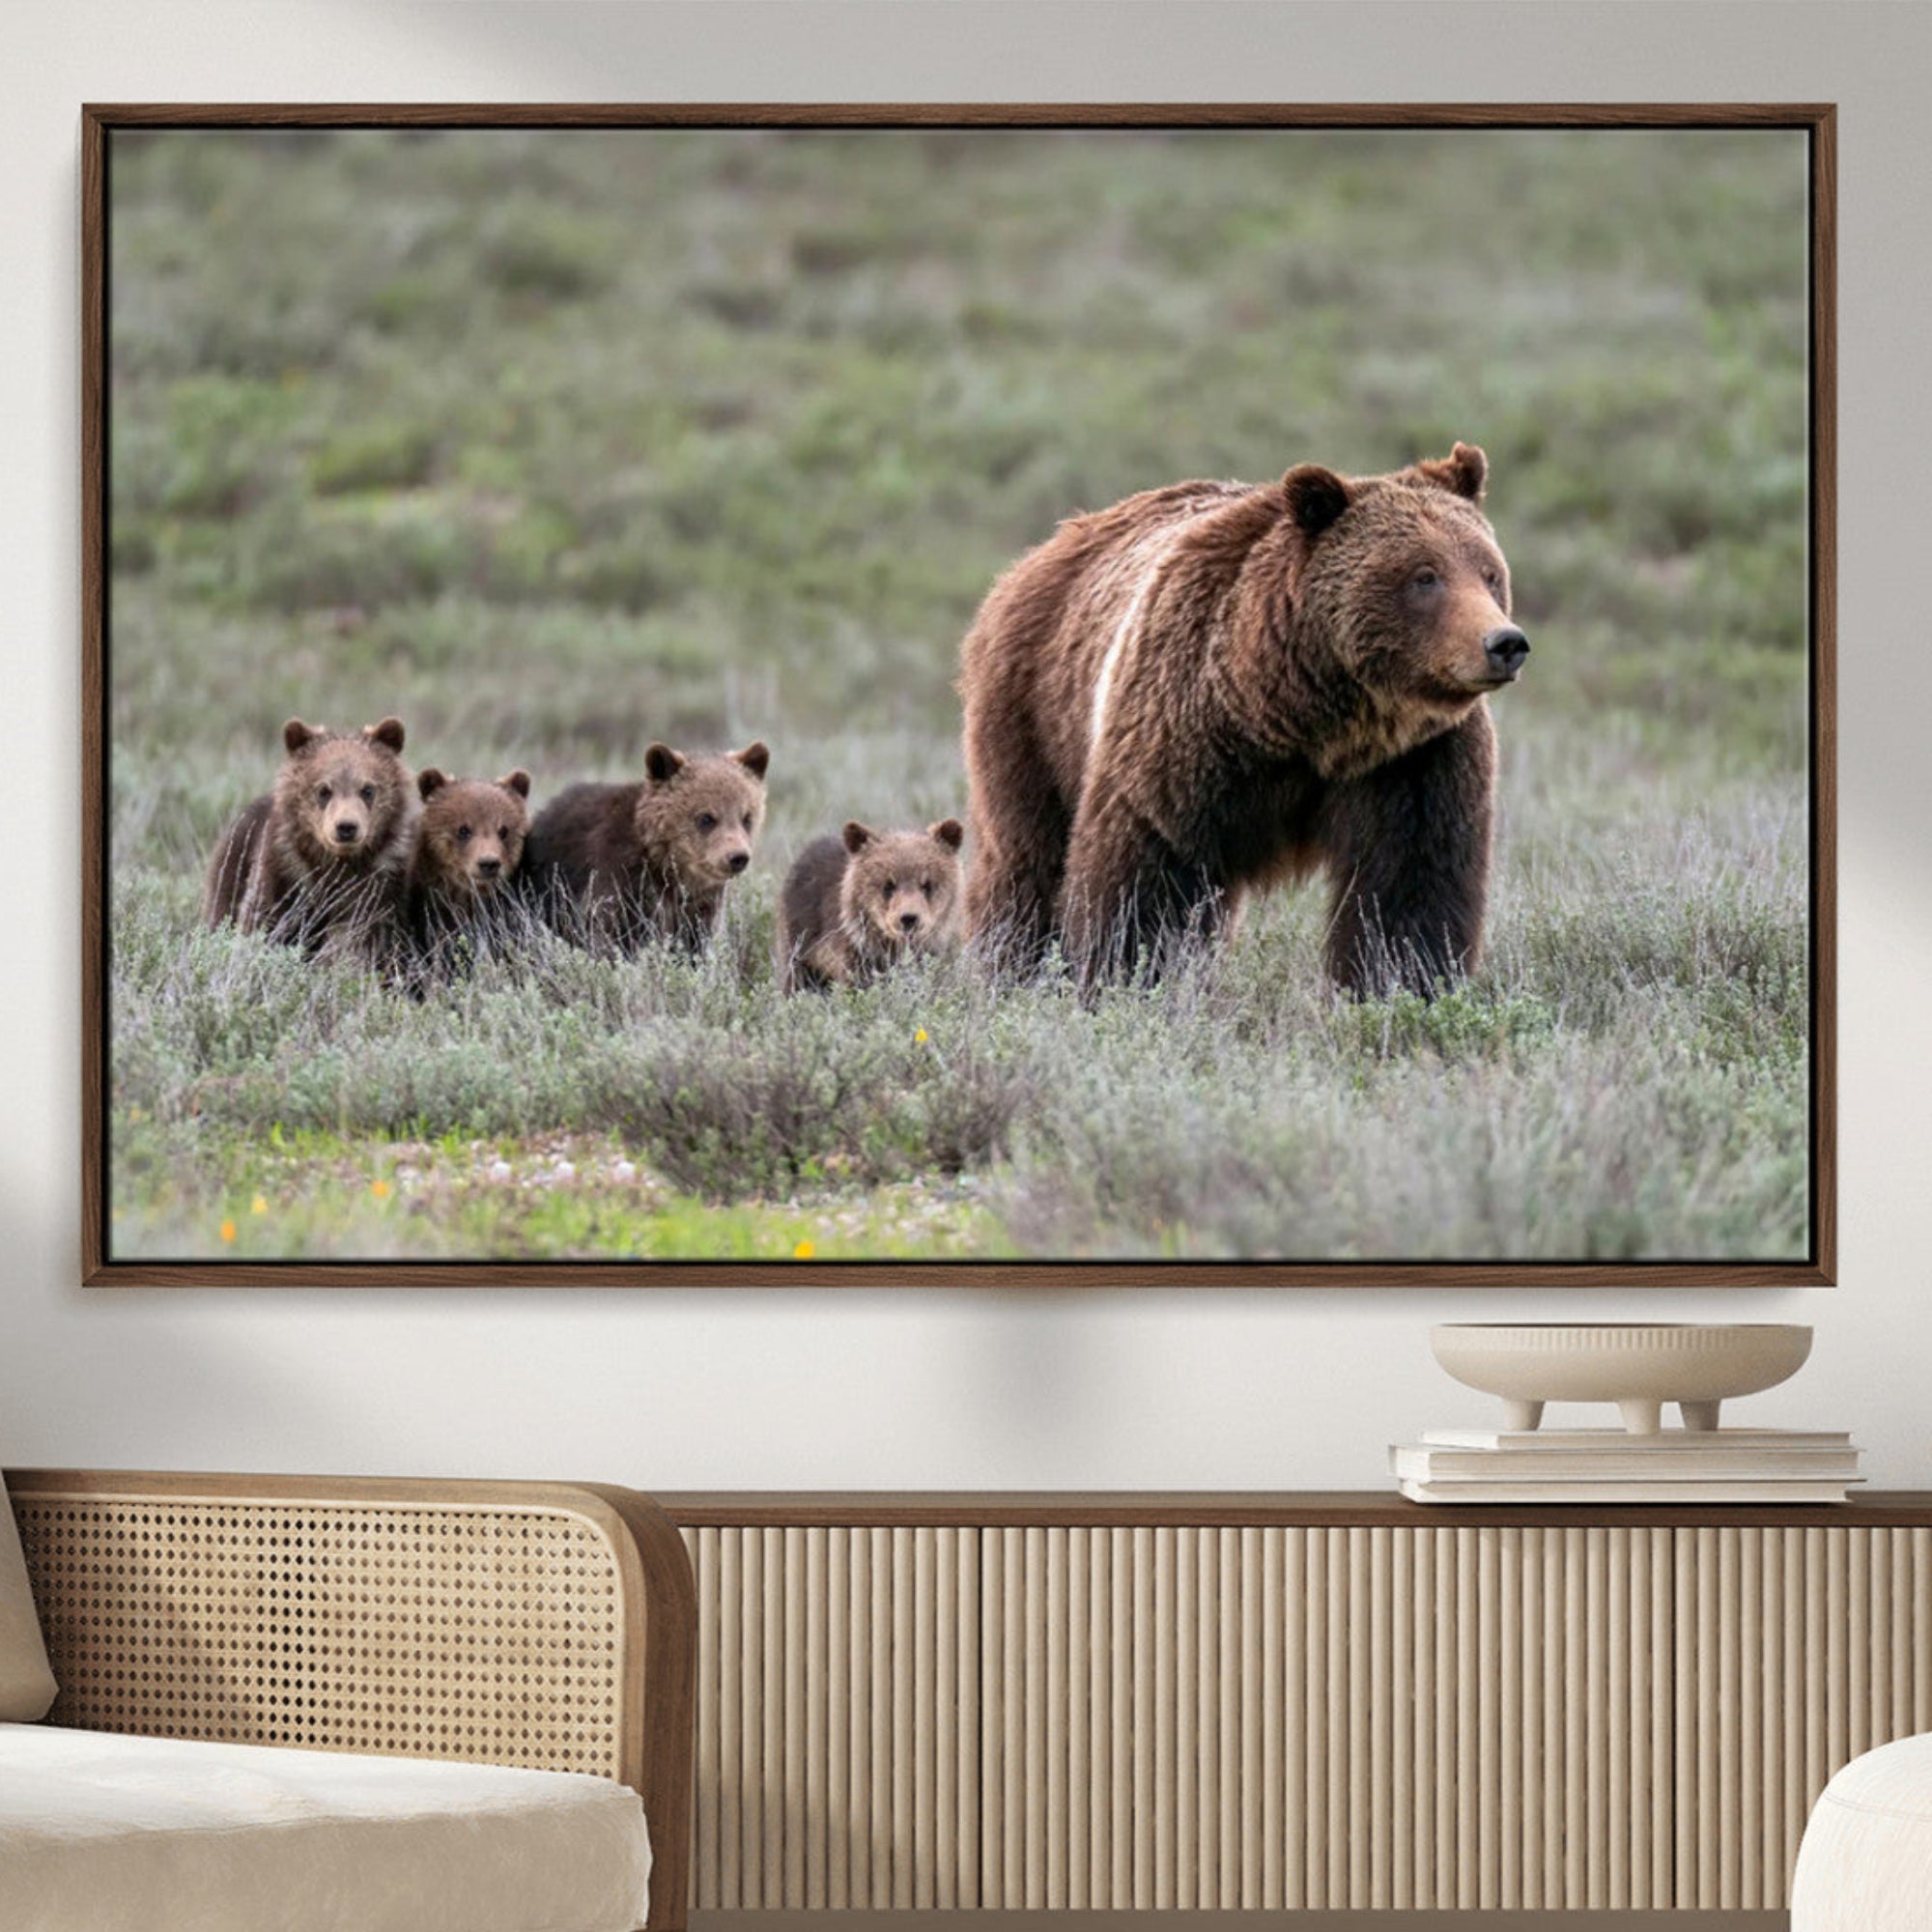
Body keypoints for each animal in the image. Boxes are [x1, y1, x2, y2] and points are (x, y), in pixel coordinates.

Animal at [201, 716, 418, 962]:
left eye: (368, 789)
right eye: (324, 790)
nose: (346, 827)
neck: (336, 862)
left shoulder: (378, 881)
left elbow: (360, 933)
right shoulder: (285, 870)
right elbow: (262, 919)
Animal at [522, 742, 770, 955]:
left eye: (747, 817)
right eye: (706, 818)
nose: (737, 857)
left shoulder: (700, 904)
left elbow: (695, 941)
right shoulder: (617, 878)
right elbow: (609, 933)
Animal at [958, 443, 1527, 992]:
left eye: (1489, 572)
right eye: (1424, 576)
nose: (1504, 643)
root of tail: (1043, 551)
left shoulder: (1413, 759)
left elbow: (1410, 886)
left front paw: (1400, 985)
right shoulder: (1184, 733)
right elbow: (1146, 875)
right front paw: (1124, 978)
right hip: (1035, 711)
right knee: (1026, 859)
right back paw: (1011, 966)